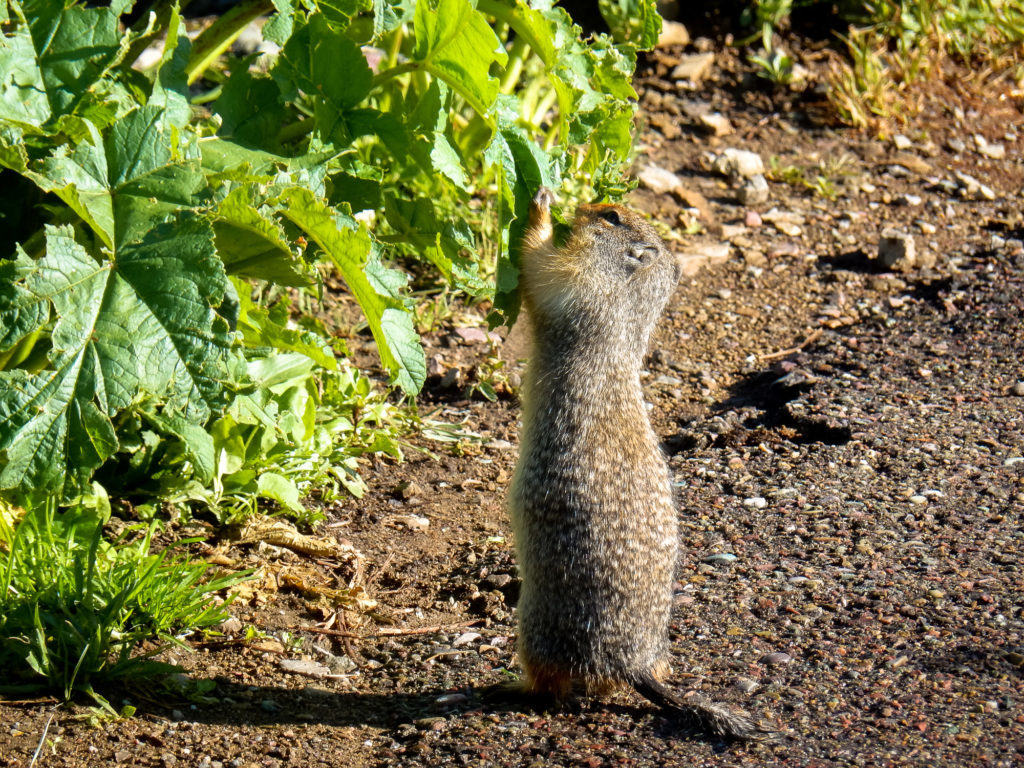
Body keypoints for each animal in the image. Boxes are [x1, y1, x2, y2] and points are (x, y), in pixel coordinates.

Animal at [507, 186, 770, 741]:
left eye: (610, 216)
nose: (584, 206)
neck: (633, 302)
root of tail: (633, 661)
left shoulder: (579, 283)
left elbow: (539, 263)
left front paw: (542, 207)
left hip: (536, 625)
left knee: (553, 685)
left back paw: (514, 686)